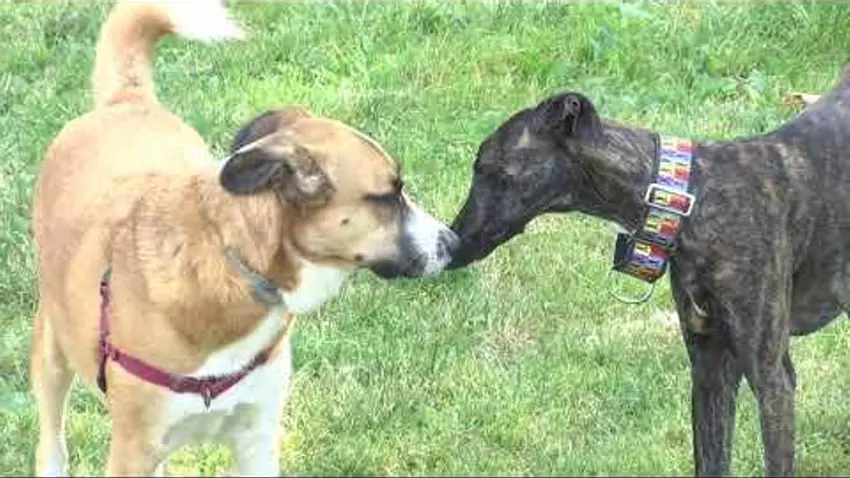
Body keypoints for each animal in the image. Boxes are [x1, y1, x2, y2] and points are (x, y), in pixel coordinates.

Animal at [29, 1, 457, 475]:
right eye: (387, 196)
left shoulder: (257, 438)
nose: (454, 242)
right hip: (51, 352)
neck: (235, 263)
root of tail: (126, 101)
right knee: (51, 440)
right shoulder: (133, 450)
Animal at [447, 64, 850, 476]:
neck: (689, 199)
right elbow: (710, 459)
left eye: (488, 169)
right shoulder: (709, 367)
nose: (452, 245)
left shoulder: (772, 379)